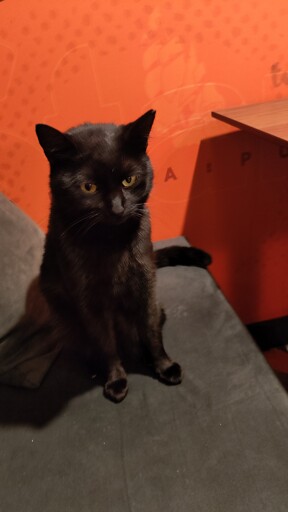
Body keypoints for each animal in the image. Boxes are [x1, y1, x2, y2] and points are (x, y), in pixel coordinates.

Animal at [36, 110, 212, 402]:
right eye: (89, 187)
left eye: (129, 180)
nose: (118, 208)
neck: (112, 244)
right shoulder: (89, 301)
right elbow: (106, 343)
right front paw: (116, 379)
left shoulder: (145, 285)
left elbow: (151, 331)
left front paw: (164, 365)